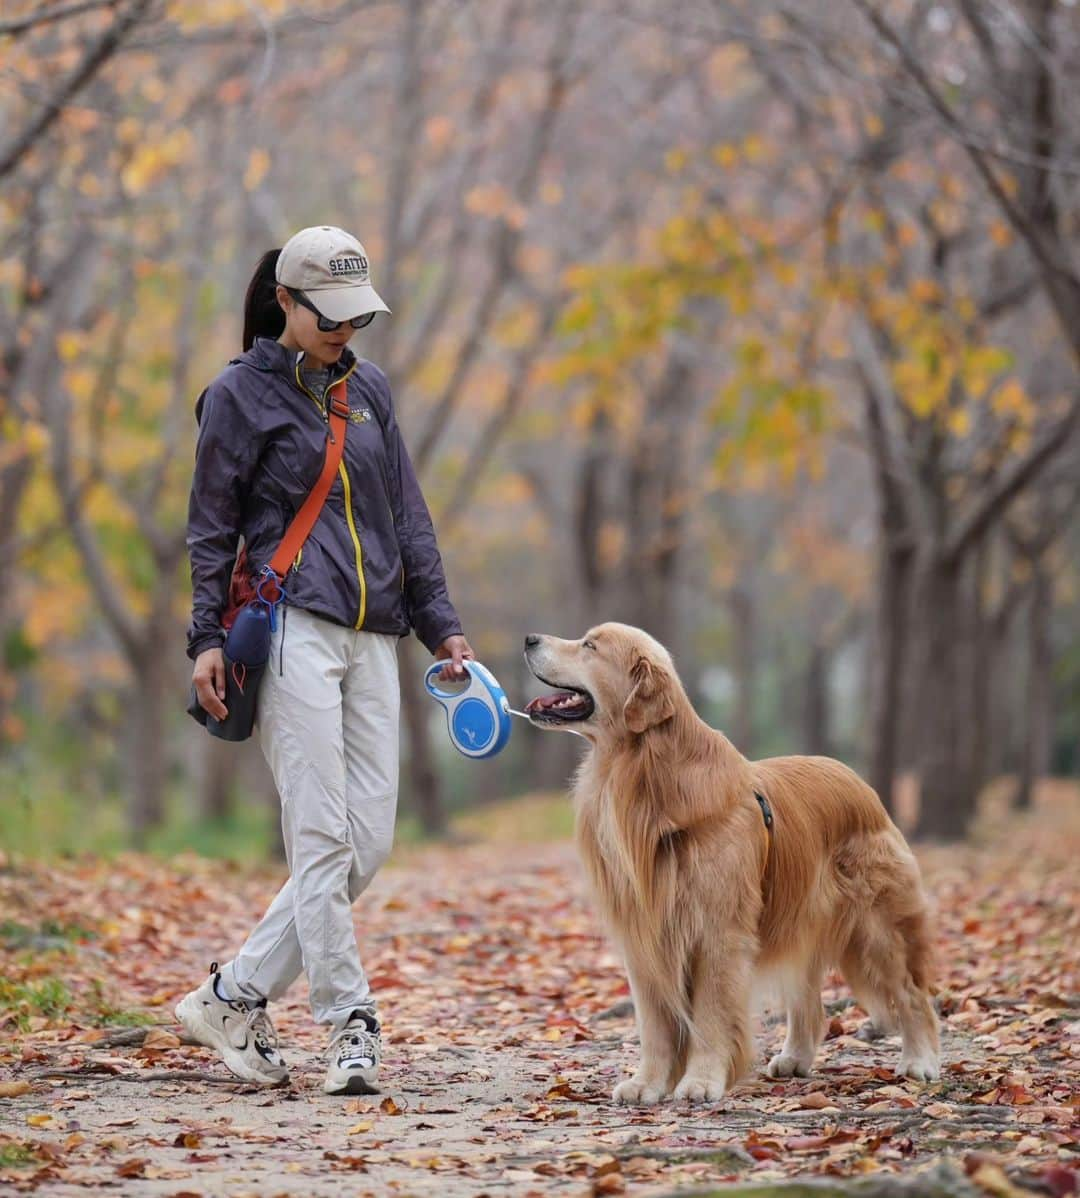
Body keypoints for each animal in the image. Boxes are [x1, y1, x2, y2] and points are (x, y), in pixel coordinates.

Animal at [524, 627, 938, 1102]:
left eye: (589, 646)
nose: (530, 638)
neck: (645, 778)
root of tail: (861, 784)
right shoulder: (643, 936)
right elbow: (654, 1023)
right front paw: (647, 1083)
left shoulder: (717, 932)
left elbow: (709, 1015)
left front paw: (701, 1080)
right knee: (809, 1002)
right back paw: (795, 1057)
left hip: (878, 927)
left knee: (911, 993)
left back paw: (920, 1061)